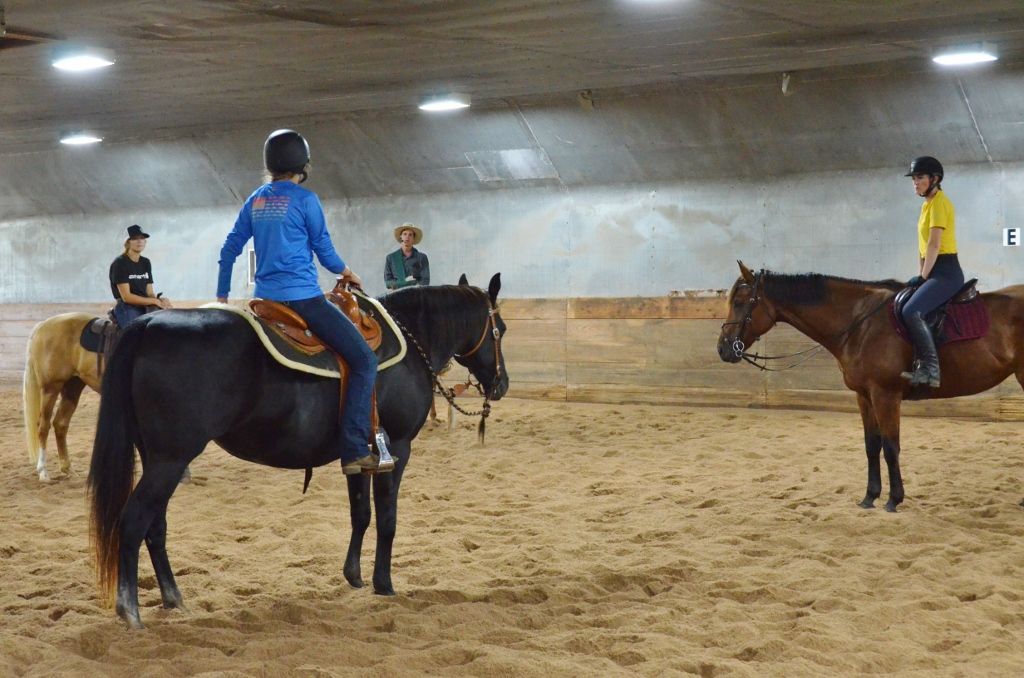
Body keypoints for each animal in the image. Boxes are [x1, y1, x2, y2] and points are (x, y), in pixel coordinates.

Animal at [86, 274, 509, 630]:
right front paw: (384, 583)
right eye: (500, 330)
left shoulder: (361, 455)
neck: (412, 337)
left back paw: (174, 598)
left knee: (155, 525)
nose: (502, 383)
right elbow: (387, 519)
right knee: (134, 521)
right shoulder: (397, 450)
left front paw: (354, 576)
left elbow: (361, 514)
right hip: (170, 460)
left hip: (158, 459)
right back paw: (130, 610)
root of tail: (148, 326)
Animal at [720, 262, 1024, 512]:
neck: (860, 323)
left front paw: (894, 499)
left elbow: (890, 446)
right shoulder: (864, 396)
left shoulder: (885, 395)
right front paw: (870, 496)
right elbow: (871, 445)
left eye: (741, 301)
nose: (723, 348)